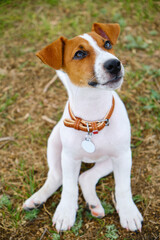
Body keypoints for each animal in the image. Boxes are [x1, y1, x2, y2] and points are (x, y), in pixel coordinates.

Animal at [23, 22, 143, 232]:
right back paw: (37, 198)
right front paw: (65, 212)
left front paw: (129, 212)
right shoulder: (70, 158)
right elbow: (69, 187)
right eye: (79, 54)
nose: (114, 64)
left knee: (86, 177)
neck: (92, 118)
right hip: (55, 144)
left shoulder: (122, 156)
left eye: (107, 44)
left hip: (111, 160)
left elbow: (123, 187)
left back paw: (94, 205)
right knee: (58, 176)